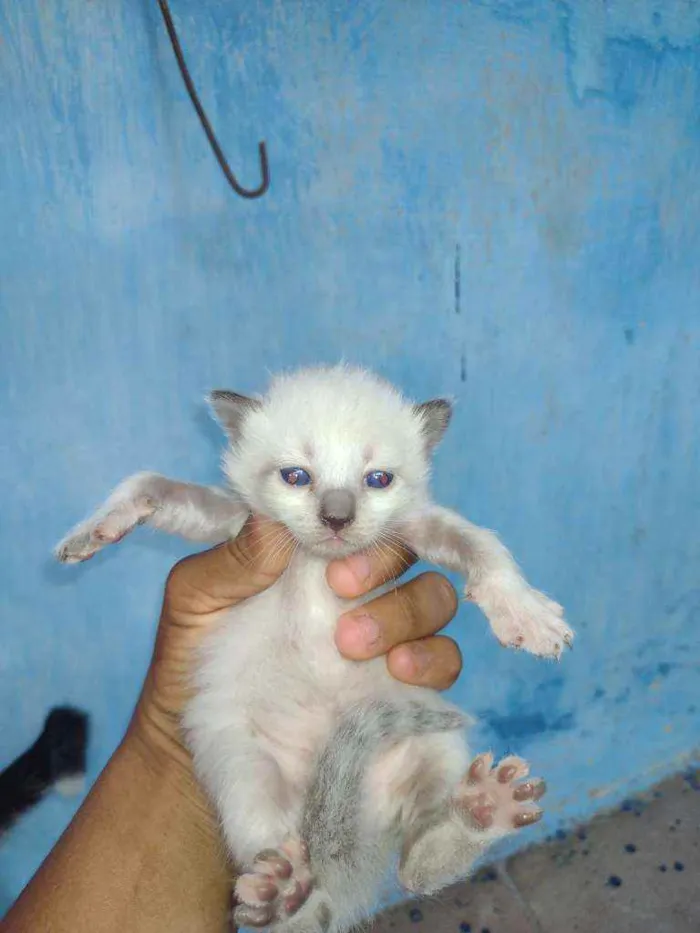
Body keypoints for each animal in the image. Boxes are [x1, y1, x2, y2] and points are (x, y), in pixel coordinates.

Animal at [54, 366, 568, 932]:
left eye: (378, 479)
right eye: (296, 476)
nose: (337, 519)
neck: (318, 564)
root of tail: (348, 836)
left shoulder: (413, 526)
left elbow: (482, 543)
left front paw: (527, 614)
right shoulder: (239, 524)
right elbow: (152, 482)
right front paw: (92, 532)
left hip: (430, 744)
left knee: (415, 866)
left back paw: (481, 809)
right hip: (246, 775)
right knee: (300, 890)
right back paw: (283, 893)